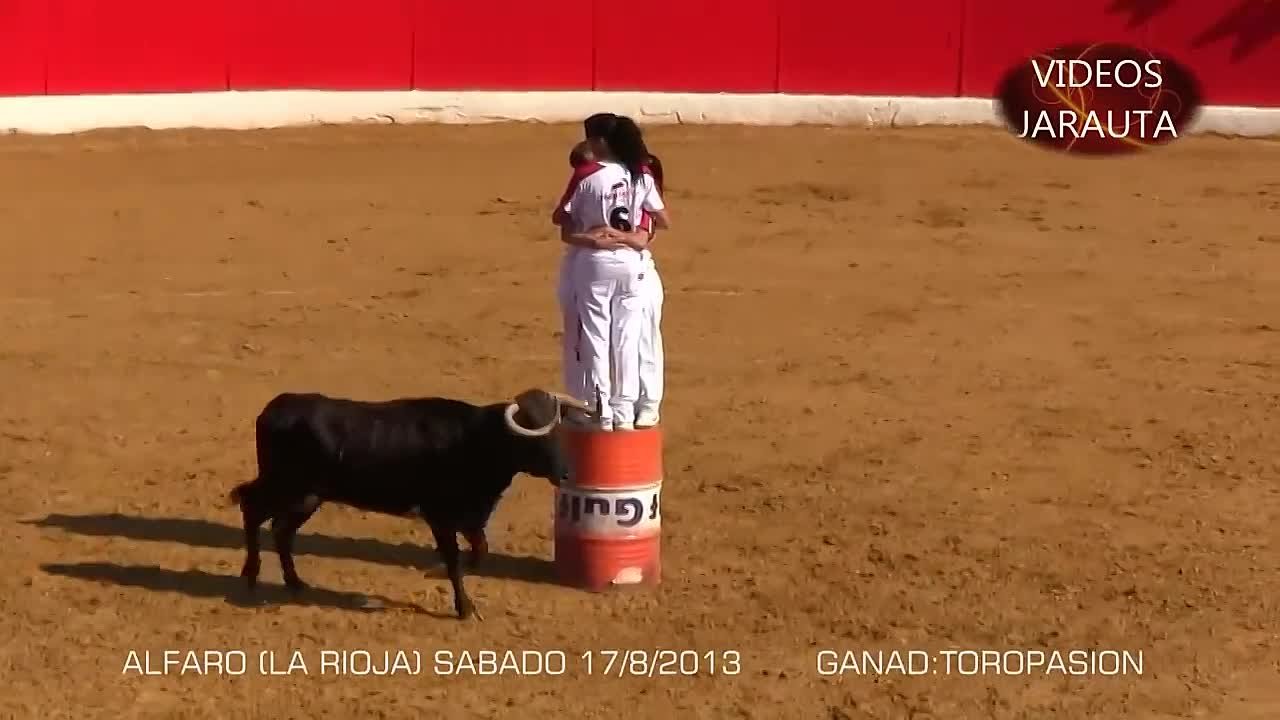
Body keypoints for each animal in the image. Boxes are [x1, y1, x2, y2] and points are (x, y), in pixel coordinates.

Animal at [229, 386, 588, 617]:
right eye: (538, 438)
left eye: (561, 433)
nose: (567, 473)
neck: (477, 440)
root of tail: (273, 410)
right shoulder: (440, 517)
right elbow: (454, 559)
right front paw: (464, 607)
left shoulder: (470, 516)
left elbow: (479, 549)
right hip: (285, 485)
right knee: (252, 508)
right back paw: (250, 576)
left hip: (307, 497)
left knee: (280, 530)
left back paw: (294, 582)